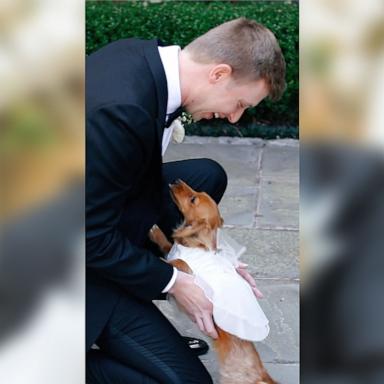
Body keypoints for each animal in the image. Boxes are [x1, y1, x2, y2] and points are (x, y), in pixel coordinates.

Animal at [149, 180, 276, 384]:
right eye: (196, 192)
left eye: (193, 199)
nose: (176, 181)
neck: (195, 245)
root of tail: (262, 374)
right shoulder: (174, 250)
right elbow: (168, 247)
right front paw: (156, 232)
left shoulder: (188, 271)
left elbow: (177, 262)